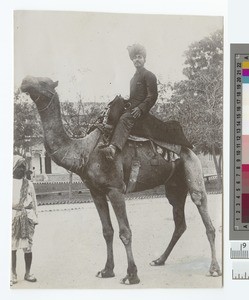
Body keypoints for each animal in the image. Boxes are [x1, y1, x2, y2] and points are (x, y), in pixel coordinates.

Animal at [20, 76, 221, 284]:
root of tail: (190, 147)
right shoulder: (96, 192)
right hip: (174, 186)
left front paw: (131, 275)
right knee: (179, 222)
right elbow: (107, 231)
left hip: (192, 168)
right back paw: (159, 260)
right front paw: (107, 270)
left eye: (43, 82)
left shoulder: (115, 189)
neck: (85, 150)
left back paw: (214, 269)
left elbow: (125, 232)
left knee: (203, 209)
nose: (25, 81)